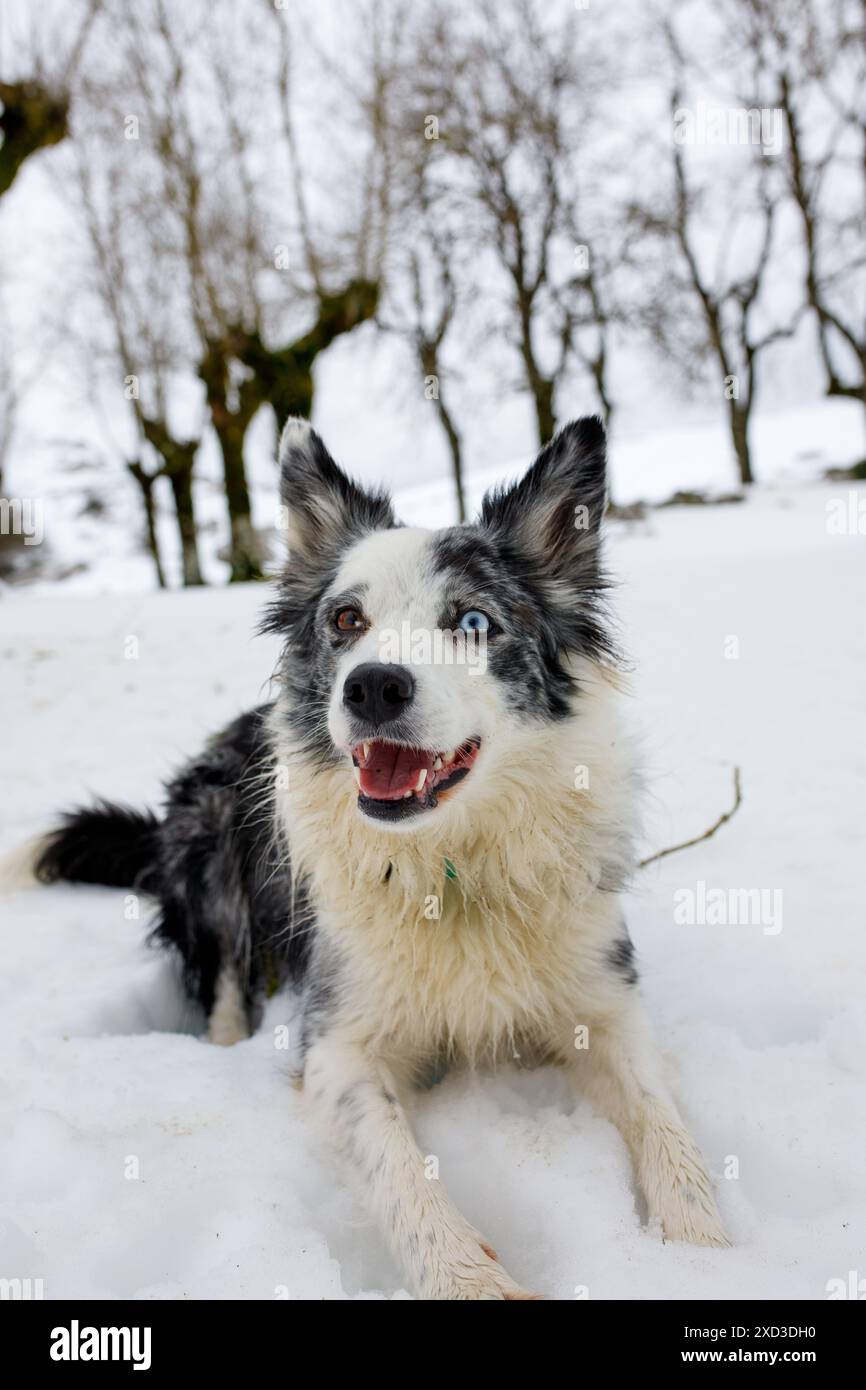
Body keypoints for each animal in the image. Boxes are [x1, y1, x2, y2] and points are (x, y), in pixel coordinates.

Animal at [30, 414, 728, 1301]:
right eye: (345, 621)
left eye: (473, 622)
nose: (372, 687)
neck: (450, 864)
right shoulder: (337, 1044)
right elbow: (399, 1164)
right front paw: (470, 1280)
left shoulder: (605, 1000)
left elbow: (664, 1124)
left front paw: (706, 1252)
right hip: (211, 837)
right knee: (222, 976)